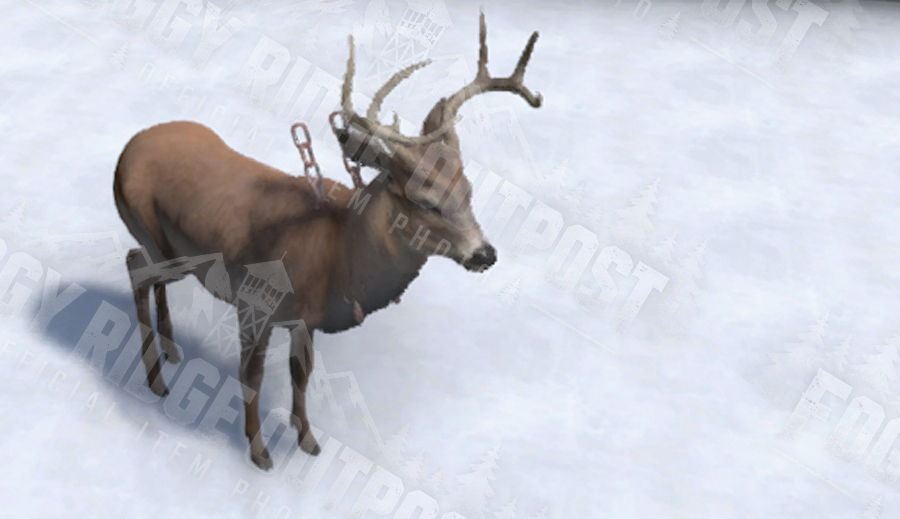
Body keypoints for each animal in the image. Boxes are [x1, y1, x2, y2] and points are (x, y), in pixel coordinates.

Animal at [112, 11, 542, 470]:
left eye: (468, 191)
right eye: (426, 201)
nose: (485, 253)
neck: (339, 250)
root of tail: (132, 143)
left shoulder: (306, 318)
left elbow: (303, 373)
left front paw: (307, 439)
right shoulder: (255, 301)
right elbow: (252, 376)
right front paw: (259, 452)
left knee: (149, 274)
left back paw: (172, 353)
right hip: (157, 235)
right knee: (135, 265)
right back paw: (156, 379)